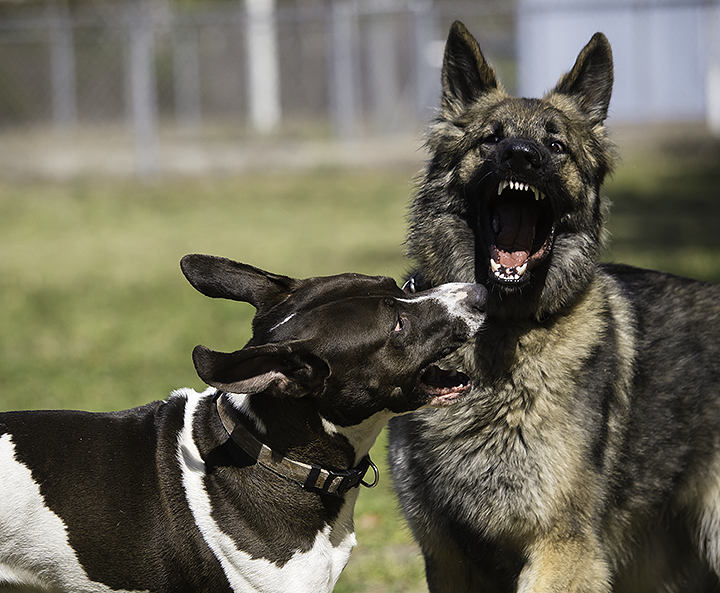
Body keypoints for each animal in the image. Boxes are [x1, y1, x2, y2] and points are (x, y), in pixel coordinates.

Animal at [390, 19, 720, 592]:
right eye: (492, 138)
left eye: (555, 144)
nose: (522, 155)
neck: (500, 333)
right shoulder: (449, 560)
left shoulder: (561, 548)